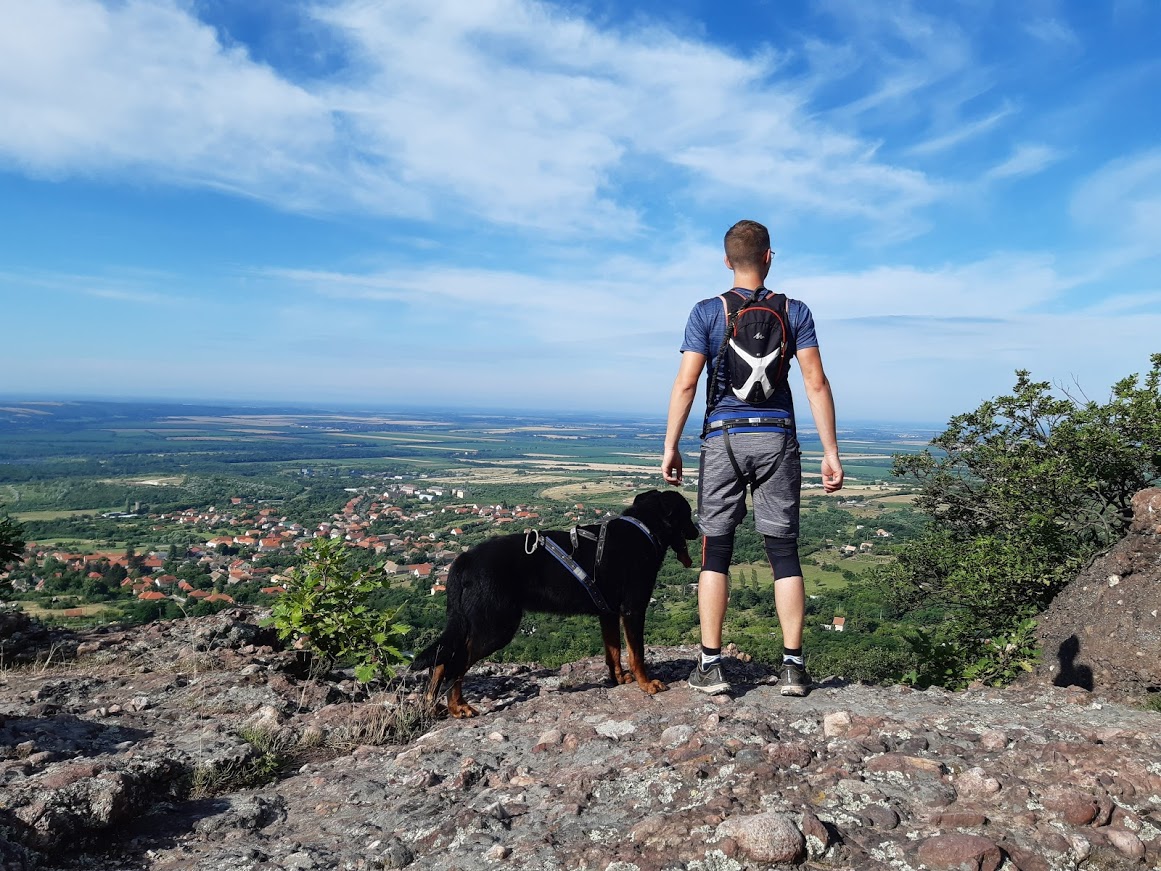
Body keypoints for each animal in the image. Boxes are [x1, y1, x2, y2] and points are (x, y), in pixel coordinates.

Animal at [410, 487, 696, 720]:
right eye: (688, 513)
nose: (698, 530)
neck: (644, 526)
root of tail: (464, 559)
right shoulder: (633, 610)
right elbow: (638, 653)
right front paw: (646, 684)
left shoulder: (608, 614)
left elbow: (613, 652)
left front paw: (619, 678)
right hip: (495, 626)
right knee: (455, 663)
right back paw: (458, 707)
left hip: (475, 623)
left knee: (442, 659)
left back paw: (433, 706)